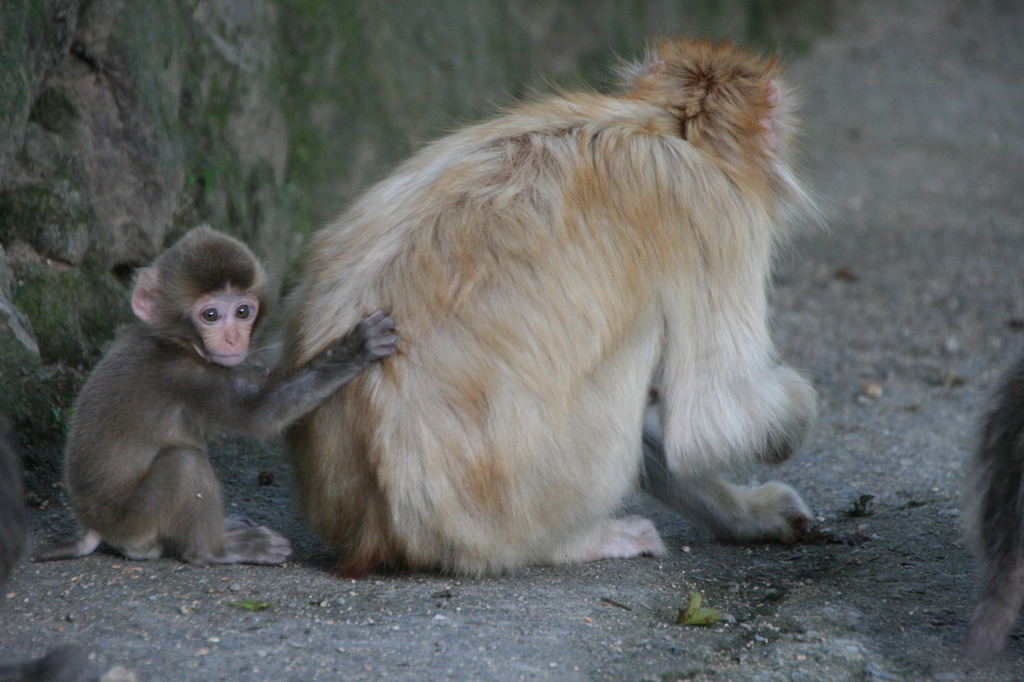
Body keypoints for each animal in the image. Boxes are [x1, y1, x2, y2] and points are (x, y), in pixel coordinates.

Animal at [36, 227, 397, 561]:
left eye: (243, 312)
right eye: (211, 315)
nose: (233, 340)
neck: (176, 343)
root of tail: (95, 525)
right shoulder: (185, 379)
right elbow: (262, 414)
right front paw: (355, 348)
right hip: (133, 522)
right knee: (183, 463)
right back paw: (217, 550)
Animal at [284, 38, 819, 573]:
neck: (660, 123)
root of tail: (375, 531)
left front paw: (745, 514)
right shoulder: (717, 211)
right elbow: (712, 423)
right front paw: (790, 422)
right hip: (499, 512)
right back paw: (570, 543)